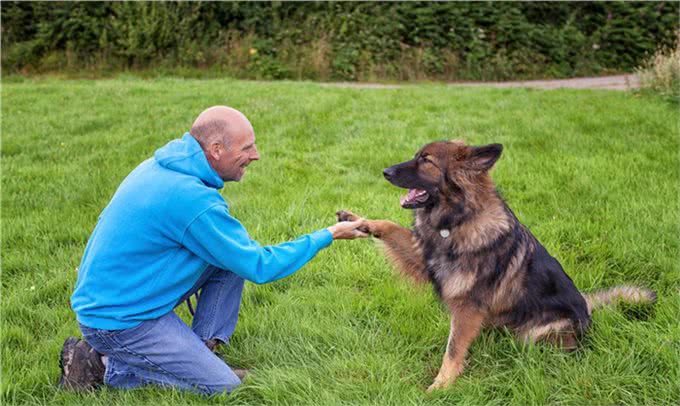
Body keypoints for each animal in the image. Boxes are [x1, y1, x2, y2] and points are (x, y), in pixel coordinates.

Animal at [338, 141, 656, 392]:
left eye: (426, 160)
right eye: (417, 155)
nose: (385, 171)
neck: (457, 220)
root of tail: (588, 309)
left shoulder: (468, 306)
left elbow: (453, 349)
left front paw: (441, 386)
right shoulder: (423, 257)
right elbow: (389, 226)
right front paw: (357, 221)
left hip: (536, 333)